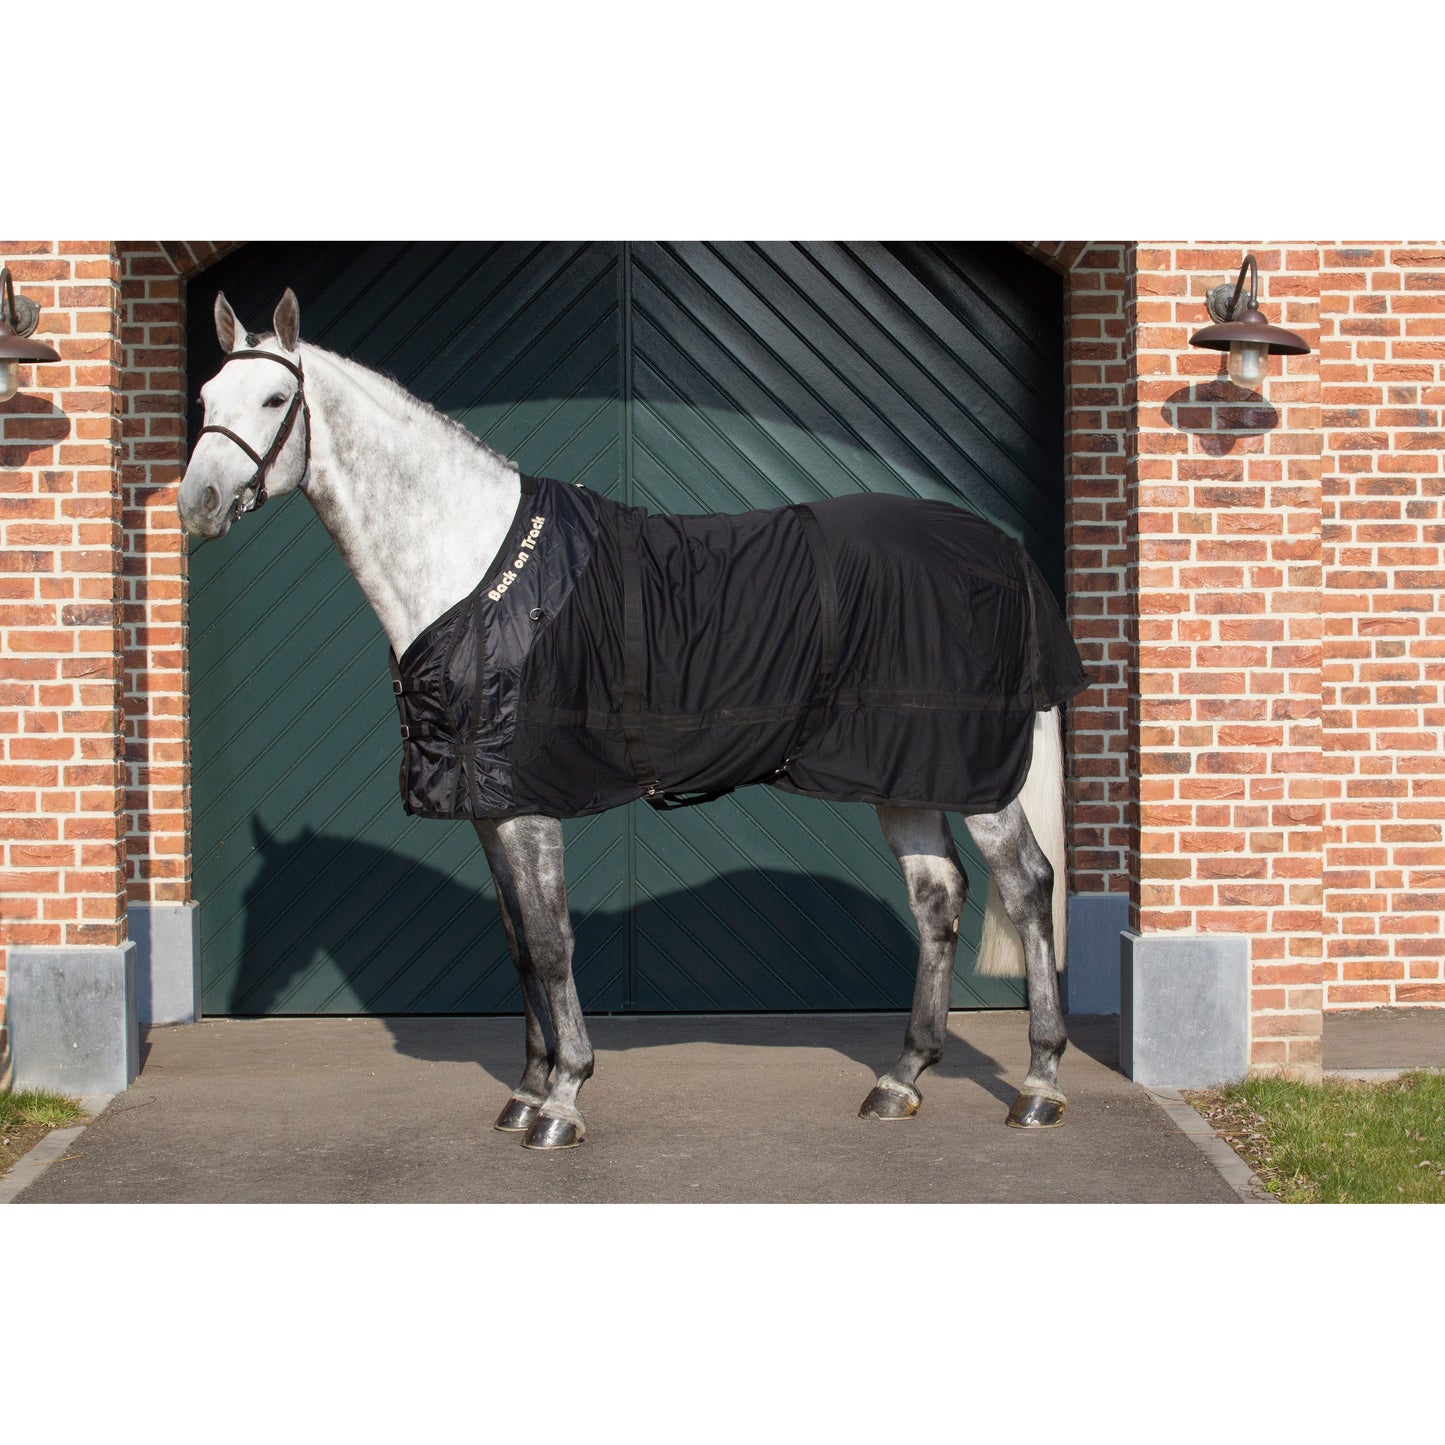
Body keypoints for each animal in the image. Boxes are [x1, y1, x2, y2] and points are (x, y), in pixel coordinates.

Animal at [177, 288, 1087, 1152]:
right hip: (905, 772)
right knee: (938, 896)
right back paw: (901, 1076)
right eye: (206, 395)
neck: (477, 573)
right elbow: (517, 942)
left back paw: (1040, 1082)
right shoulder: (490, 806)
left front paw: (563, 1098)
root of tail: (1002, 550)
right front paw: (525, 1090)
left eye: (273, 399)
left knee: (1026, 885)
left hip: (977, 779)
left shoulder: (531, 802)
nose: (197, 504)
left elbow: (551, 943)